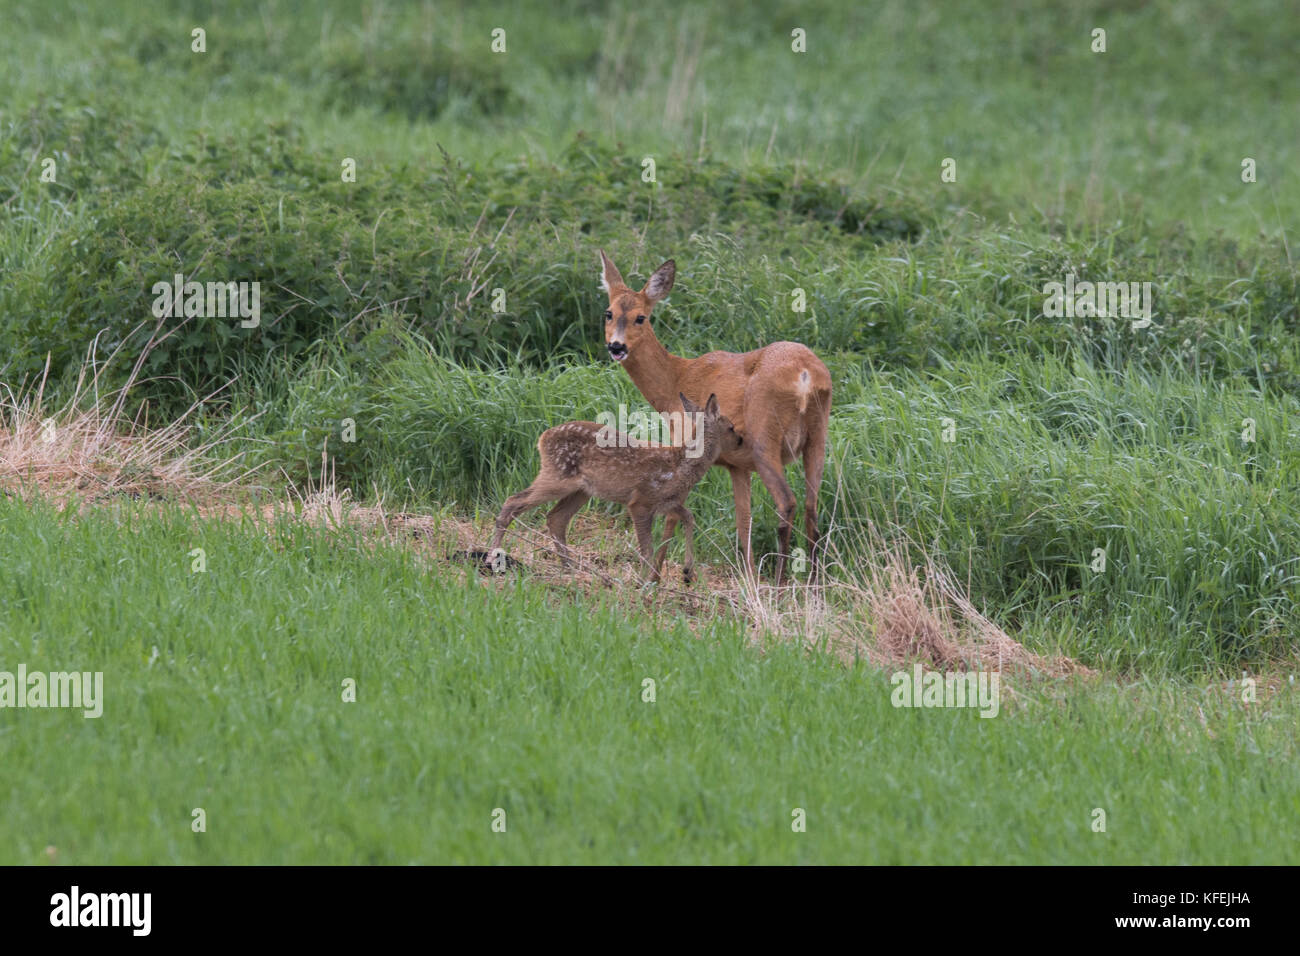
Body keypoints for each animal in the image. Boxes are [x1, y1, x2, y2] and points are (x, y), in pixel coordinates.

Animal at [486, 393, 743, 585]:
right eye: (731, 427)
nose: (741, 441)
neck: (680, 465)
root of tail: (542, 437)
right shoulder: (641, 500)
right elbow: (647, 548)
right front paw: (644, 581)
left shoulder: (667, 501)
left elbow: (689, 517)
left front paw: (687, 572)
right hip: (557, 476)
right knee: (513, 501)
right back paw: (493, 557)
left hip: (581, 490)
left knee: (555, 518)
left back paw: (568, 568)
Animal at [598, 250, 832, 585]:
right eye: (608, 312)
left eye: (640, 317)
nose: (616, 346)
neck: (675, 380)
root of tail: (805, 375)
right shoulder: (738, 466)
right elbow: (743, 520)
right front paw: (749, 577)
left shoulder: (688, 445)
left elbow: (672, 513)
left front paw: (656, 576)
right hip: (818, 438)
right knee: (812, 507)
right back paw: (812, 583)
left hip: (765, 437)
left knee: (787, 502)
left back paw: (780, 581)